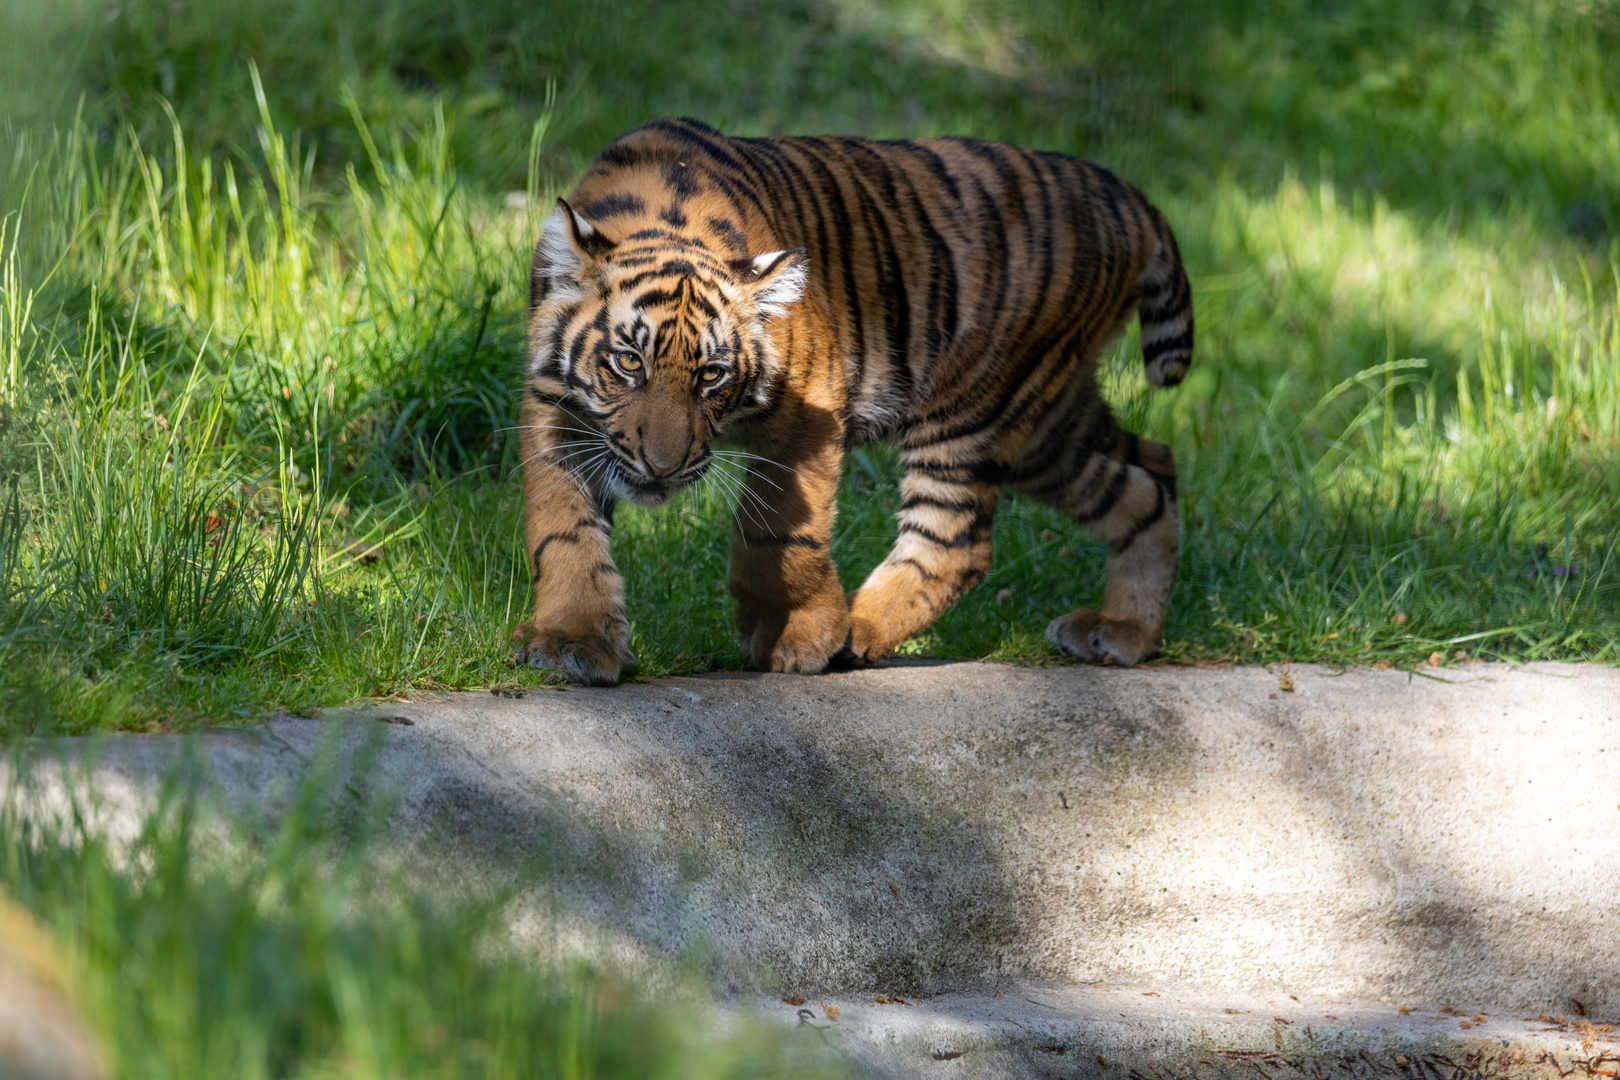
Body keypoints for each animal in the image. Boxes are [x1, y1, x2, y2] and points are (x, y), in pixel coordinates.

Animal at [515, 118, 1192, 689]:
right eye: (629, 362)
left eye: (712, 375)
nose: (662, 468)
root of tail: (1132, 200)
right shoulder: (554, 404)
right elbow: (563, 527)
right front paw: (570, 640)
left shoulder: (809, 408)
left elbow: (778, 525)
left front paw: (796, 634)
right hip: (1049, 424)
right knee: (1151, 475)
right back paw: (1125, 632)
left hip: (977, 409)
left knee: (957, 543)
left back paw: (852, 632)